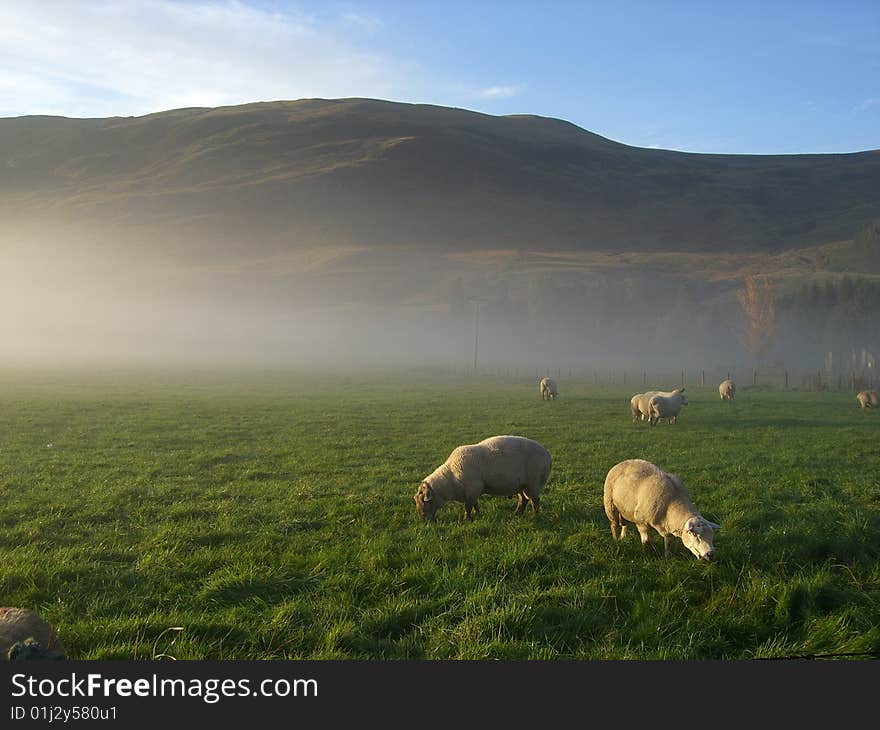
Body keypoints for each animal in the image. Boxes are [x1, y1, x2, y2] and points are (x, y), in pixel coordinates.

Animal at [412, 432, 552, 516]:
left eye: (425, 501)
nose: (424, 520)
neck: (450, 478)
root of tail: (547, 454)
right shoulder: (472, 492)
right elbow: (475, 505)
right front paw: (478, 515)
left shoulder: (472, 490)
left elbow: (468, 507)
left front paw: (466, 520)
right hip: (521, 485)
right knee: (523, 499)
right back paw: (517, 514)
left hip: (533, 483)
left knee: (534, 500)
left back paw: (535, 516)